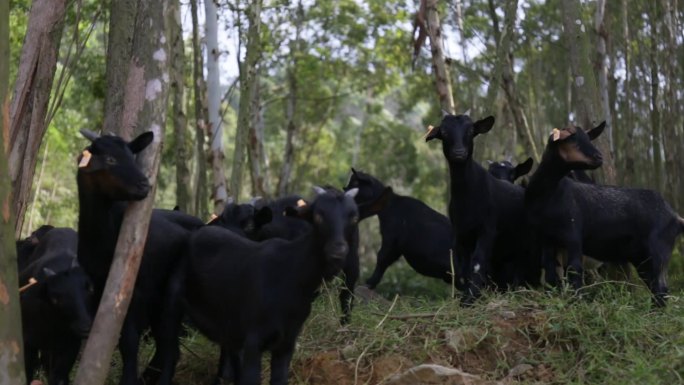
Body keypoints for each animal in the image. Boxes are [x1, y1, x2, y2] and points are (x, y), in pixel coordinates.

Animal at [76, 130, 203, 384]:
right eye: (110, 159)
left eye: (132, 157)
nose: (145, 184)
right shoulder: (96, 286)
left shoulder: (134, 290)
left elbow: (129, 341)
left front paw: (128, 380)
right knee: (167, 345)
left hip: (172, 290)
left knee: (170, 346)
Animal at [184, 187, 360, 384]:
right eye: (222, 220)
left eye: (250, 226)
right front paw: (224, 375)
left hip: (352, 265)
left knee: (346, 296)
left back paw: (345, 328)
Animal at [520, 123, 680, 306]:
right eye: (572, 139)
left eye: (588, 138)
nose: (599, 157)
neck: (549, 194)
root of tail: (676, 217)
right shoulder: (546, 238)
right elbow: (549, 270)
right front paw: (551, 297)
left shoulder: (573, 235)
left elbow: (574, 270)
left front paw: (577, 302)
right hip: (641, 257)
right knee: (654, 284)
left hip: (659, 250)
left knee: (661, 287)